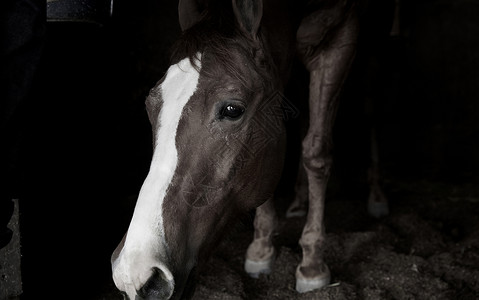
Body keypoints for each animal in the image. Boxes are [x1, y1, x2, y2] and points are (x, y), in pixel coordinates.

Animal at [110, 0, 388, 298]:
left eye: (232, 110)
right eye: (151, 105)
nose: (134, 274)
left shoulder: (341, 38)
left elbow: (316, 152)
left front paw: (312, 264)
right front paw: (261, 248)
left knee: (371, 109)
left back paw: (376, 196)